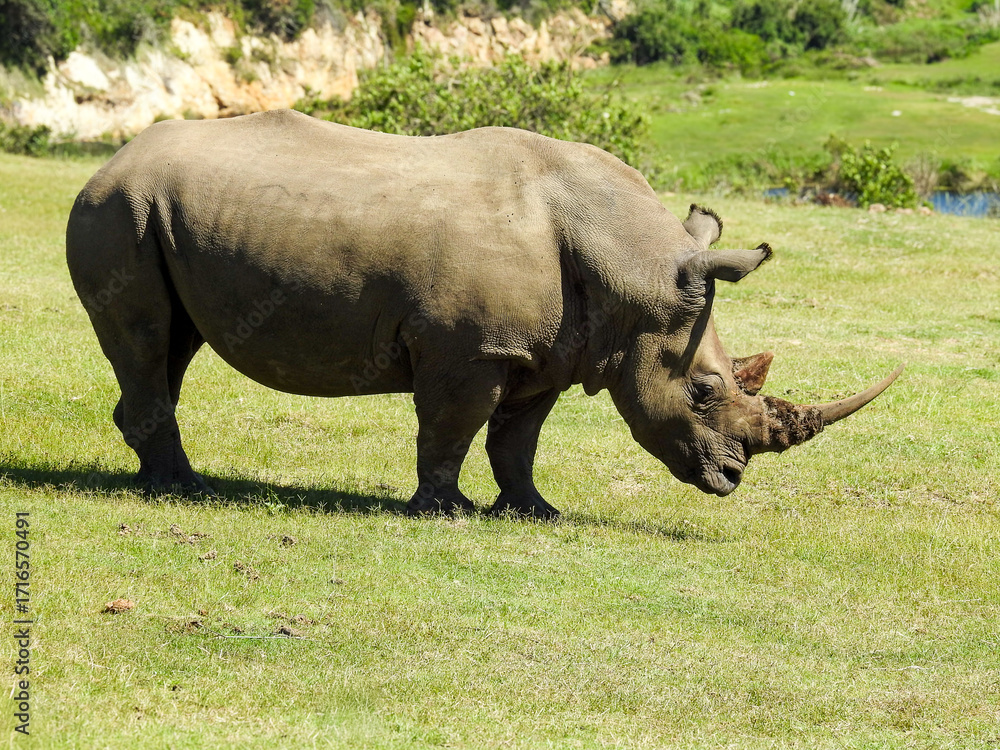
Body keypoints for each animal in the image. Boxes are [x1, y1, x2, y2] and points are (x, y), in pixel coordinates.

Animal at [66, 109, 900, 518]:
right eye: (702, 390)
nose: (731, 477)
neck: (630, 267)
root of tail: (111, 158)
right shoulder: (471, 349)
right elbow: (453, 429)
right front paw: (446, 511)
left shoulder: (545, 352)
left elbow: (517, 440)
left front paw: (536, 512)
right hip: (119, 209)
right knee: (145, 341)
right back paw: (185, 490)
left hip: (153, 213)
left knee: (171, 346)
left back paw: (162, 479)